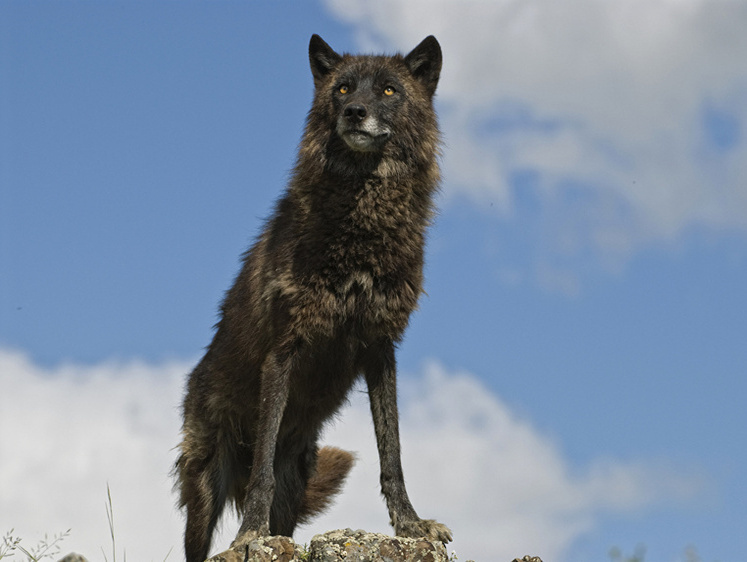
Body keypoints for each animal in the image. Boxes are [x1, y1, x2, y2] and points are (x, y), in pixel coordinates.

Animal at [175, 35, 450, 560]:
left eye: (388, 90)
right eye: (342, 88)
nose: (355, 112)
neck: (363, 220)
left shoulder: (381, 349)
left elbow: (393, 454)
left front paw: (410, 524)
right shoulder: (284, 350)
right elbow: (260, 470)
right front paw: (249, 536)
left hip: (297, 481)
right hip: (203, 485)